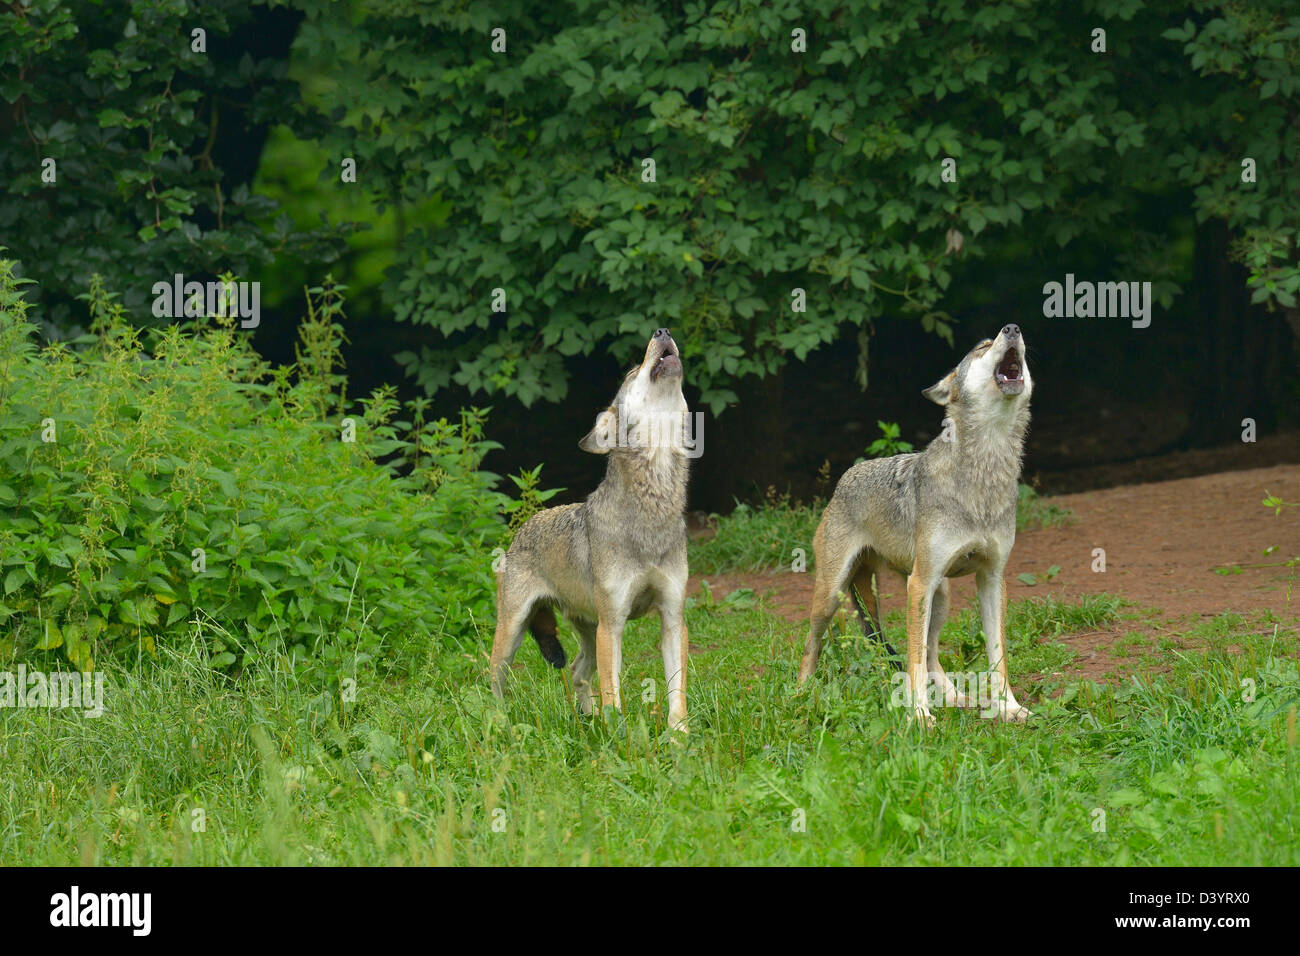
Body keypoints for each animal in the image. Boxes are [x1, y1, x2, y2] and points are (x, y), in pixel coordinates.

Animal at [488, 329, 691, 733]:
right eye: (632, 371)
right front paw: (623, 739)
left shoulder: (673, 618)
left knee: (577, 670)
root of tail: (523, 528)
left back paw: (587, 719)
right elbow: (615, 695)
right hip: (514, 633)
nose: (662, 331)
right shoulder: (613, 625)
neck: (653, 509)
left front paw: (680, 739)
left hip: (588, 632)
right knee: (494, 682)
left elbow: (677, 695)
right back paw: (500, 725)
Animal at [790, 323, 1034, 723]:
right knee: (813, 645)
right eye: (983, 347)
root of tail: (846, 477)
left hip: (940, 594)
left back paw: (954, 698)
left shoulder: (992, 579)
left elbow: (998, 658)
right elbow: (914, 659)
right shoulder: (919, 584)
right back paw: (799, 695)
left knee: (932, 652)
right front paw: (918, 715)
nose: (1012, 328)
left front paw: (1008, 708)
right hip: (834, 594)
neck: (985, 471)